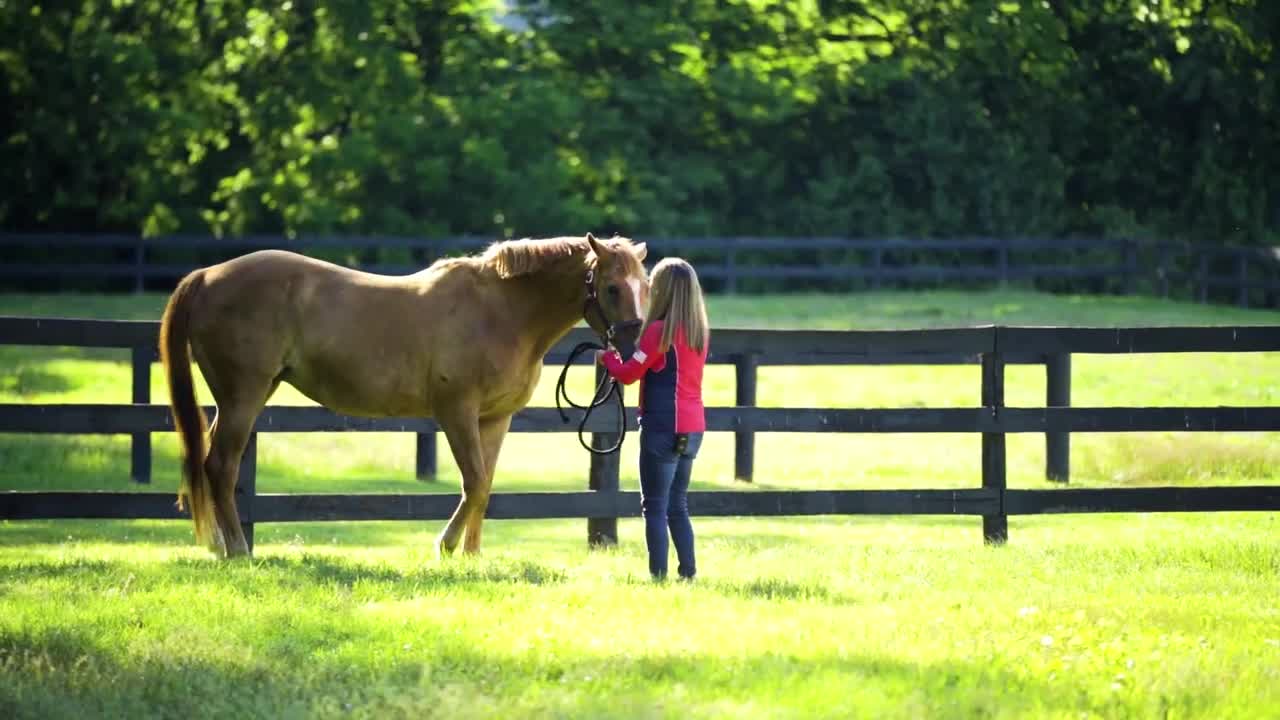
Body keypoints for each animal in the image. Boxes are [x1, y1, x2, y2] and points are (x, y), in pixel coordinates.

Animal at [157, 233, 650, 558]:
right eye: (611, 287)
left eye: (645, 288)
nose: (632, 347)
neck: (500, 312)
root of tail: (207, 275)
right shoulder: (457, 413)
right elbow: (474, 482)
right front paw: (446, 546)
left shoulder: (495, 419)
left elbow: (486, 486)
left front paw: (472, 556)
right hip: (244, 396)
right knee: (221, 466)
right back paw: (238, 550)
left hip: (240, 398)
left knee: (211, 466)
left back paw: (222, 546)